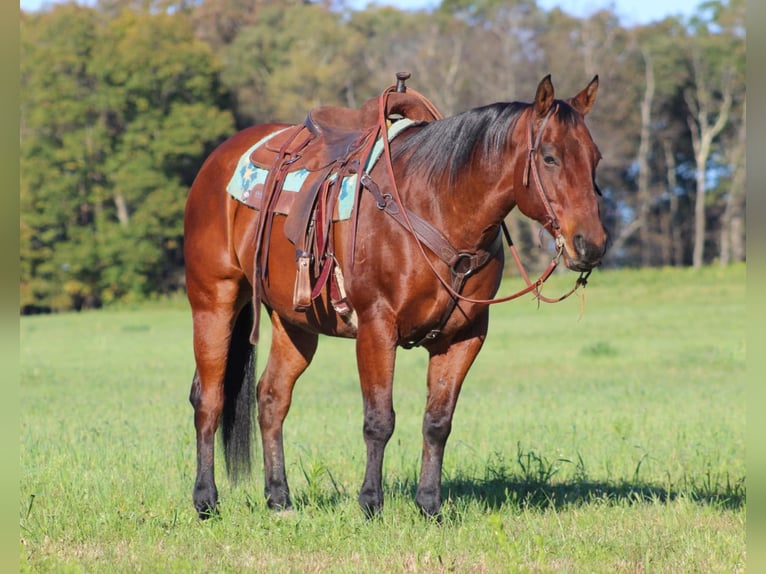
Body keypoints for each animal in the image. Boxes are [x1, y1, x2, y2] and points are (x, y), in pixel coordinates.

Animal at [183, 73, 608, 520]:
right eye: (549, 158)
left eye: (594, 158)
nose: (591, 244)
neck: (436, 205)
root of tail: (219, 159)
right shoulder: (376, 326)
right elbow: (379, 420)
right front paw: (371, 503)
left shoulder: (465, 337)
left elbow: (438, 422)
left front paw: (429, 505)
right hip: (214, 301)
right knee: (209, 399)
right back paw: (206, 499)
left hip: (295, 323)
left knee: (271, 398)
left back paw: (280, 499)